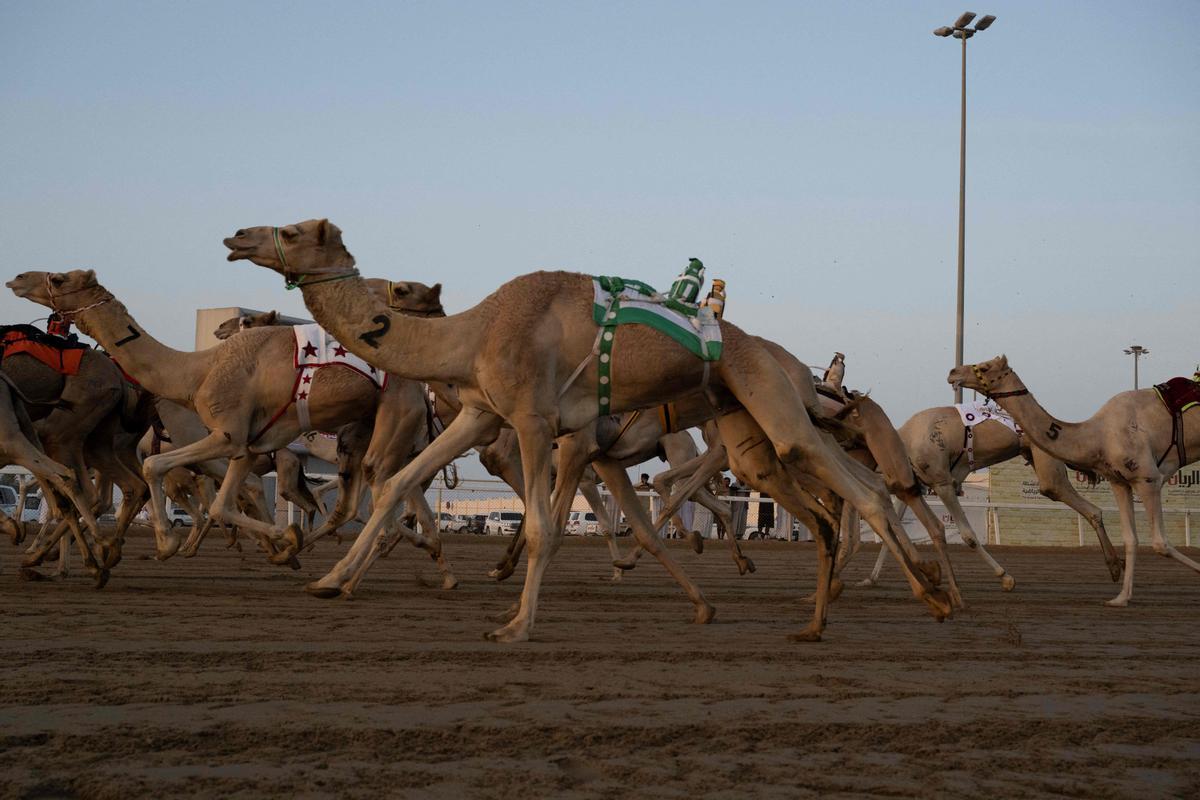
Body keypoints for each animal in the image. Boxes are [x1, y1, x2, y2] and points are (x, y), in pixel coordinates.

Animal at [5, 271, 453, 587]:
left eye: (59, 279)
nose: (18, 278)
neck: (196, 371)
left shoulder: (225, 435)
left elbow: (157, 470)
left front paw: (168, 543)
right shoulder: (248, 444)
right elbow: (224, 502)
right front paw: (283, 543)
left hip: (391, 423)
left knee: (379, 489)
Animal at [226, 220, 945, 642]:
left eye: (292, 229)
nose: (237, 236)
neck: (477, 333)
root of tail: (793, 364)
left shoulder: (539, 422)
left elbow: (547, 522)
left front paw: (516, 625)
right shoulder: (487, 415)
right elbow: (404, 479)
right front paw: (330, 580)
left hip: (768, 404)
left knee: (853, 493)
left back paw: (919, 595)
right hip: (749, 424)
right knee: (843, 496)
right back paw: (849, 612)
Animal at [950, 357, 1195, 606]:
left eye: (985, 367)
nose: (953, 372)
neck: (1098, 436)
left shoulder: (1148, 478)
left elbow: (1160, 543)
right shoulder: (1120, 482)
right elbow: (1131, 539)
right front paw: (1121, 597)